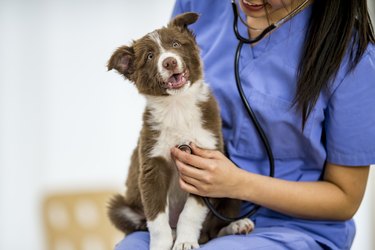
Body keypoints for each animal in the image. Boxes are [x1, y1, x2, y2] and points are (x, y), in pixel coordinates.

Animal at [108, 12, 256, 250]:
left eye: (175, 44)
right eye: (150, 56)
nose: (169, 61)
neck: (177, 107)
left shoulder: (204, 164)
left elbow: (191, 212)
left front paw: (186, 241)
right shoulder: (153, 165)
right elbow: (156, 218)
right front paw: (161, 245)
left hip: (232, 183)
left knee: (213, 230)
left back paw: (236, 225)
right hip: (120, 206)